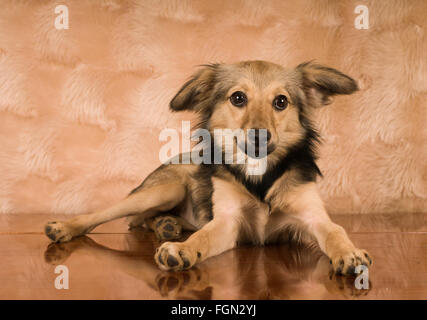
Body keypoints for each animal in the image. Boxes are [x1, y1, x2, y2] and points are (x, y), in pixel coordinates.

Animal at [42, 60, 372, 276]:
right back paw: (67, 227)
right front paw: (182, 251)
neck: (258, 175)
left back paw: (167, 224)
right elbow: (204, 236)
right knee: (114, 215)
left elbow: (336, 230)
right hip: (165, 188)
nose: (260, 135)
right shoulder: (228, 223)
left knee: (145, 220)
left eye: (281, 102)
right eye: (238, 98)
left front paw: (349, 253)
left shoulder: (312, 215)